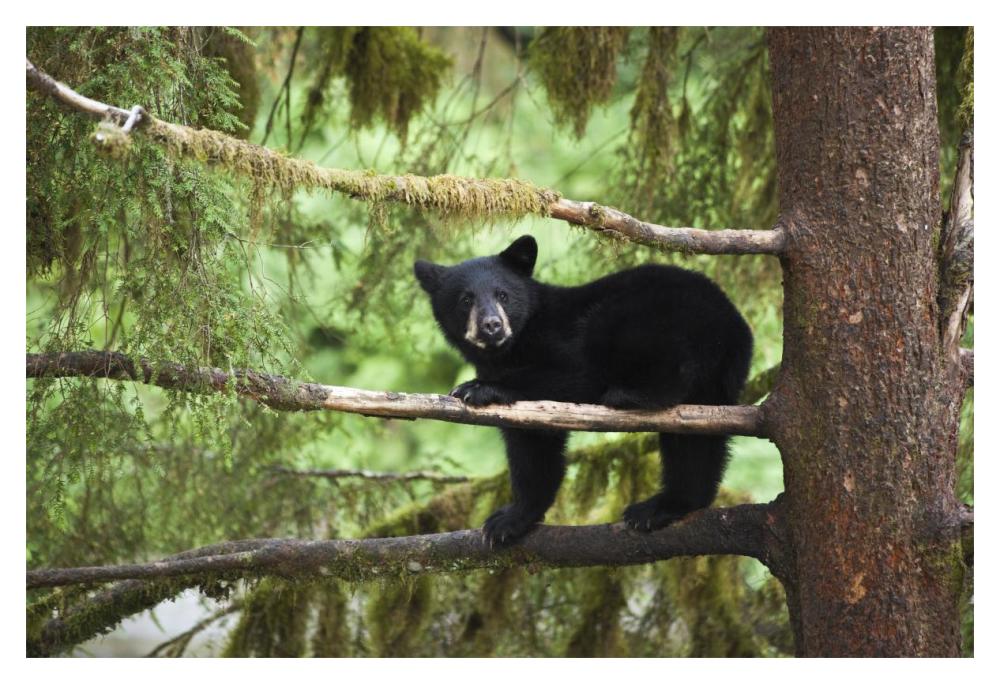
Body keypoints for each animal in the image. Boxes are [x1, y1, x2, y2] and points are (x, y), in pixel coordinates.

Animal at [414, 235, 753, 546]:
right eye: (465, 299)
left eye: (503, 295)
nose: (492, 325)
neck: (511, 348)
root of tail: (731, 324)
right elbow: (532, 448)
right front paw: (509, 521)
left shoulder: (561, 342)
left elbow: (575, 374)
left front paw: (477, 388)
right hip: (715, 385)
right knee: (694, 444)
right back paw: (661, 507)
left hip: (652, 318)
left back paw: (631, 395)